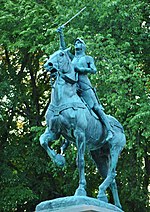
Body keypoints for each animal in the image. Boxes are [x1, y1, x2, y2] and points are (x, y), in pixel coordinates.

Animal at [39, 48, 125, 209]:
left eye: (61, 54)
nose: (48, 65)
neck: (63, 98)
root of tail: (120, 126)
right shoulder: (54, 132)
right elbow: (43, 141)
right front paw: (59, 160)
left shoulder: (80, 135)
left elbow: (80, 161)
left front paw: (80, 190)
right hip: (99, 155)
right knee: (111, 178)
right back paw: (114, 203)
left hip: (115, 150)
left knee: (112, 173)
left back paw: (102, 192)